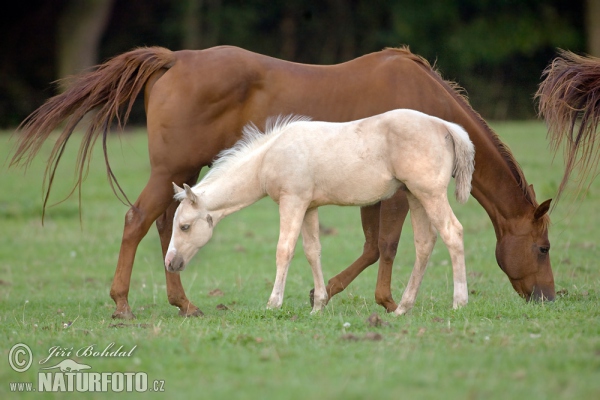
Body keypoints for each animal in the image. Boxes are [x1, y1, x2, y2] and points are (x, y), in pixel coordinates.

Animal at [164, 110, 474, 316]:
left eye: (184, 226)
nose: (170, 263)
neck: (269, 157)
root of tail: (445, 126)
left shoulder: (292, 201)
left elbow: (284, 249)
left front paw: (273, 303)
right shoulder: (309, 207)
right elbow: (312, 251)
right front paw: (319, 305)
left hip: (429, 194)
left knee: (453, 233)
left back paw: (459, 302)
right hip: (414, 196)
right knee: (425, 243)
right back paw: (403, 308)